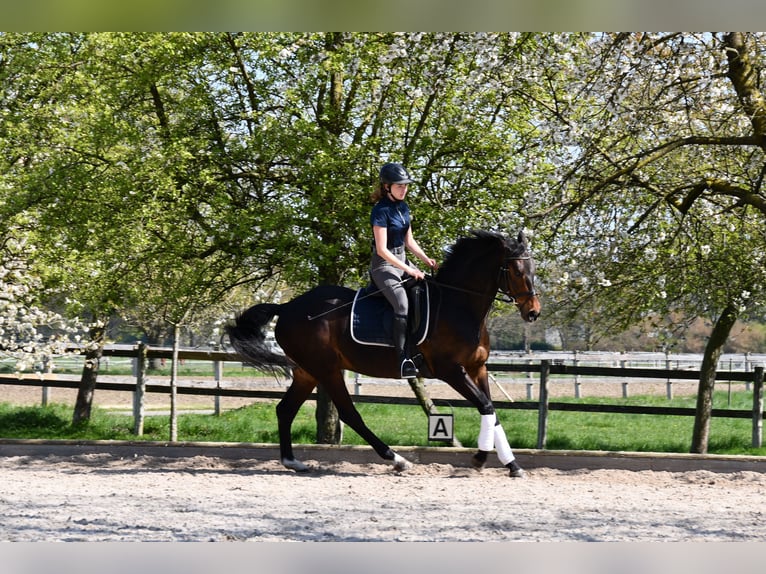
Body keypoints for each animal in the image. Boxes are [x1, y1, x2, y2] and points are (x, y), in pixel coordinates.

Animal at [225, 230, 544, 476]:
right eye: (517, 271)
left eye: (534, 271)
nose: (533, 313)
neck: (459, 305)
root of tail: (288, 307)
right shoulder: (451, 370)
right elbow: (486, 407)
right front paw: (479, 458)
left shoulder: (479, 368)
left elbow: (493, 411)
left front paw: (513, 465)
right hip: (326, 369)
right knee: (349, 414)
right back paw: (397, 460)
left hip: (307, 372)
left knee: (285, 410)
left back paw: (293, 462)